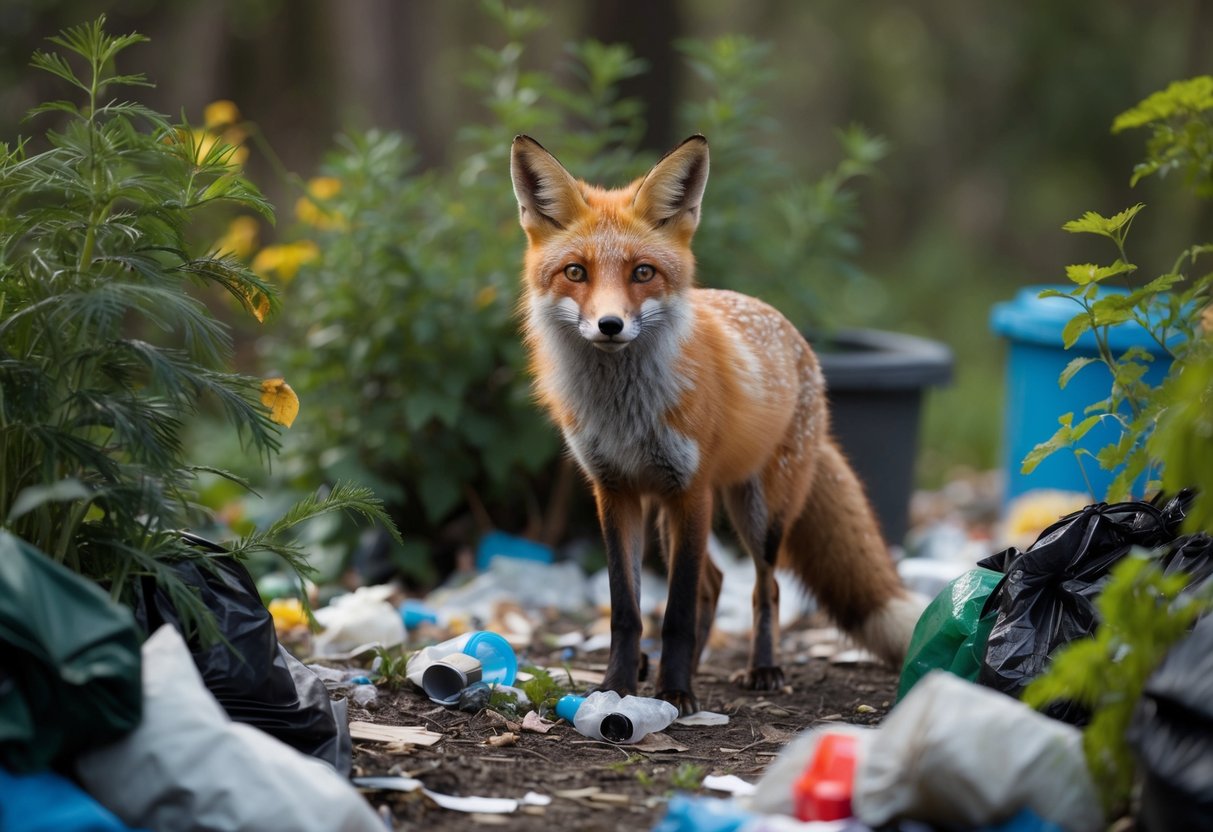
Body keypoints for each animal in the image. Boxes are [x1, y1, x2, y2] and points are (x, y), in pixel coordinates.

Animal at [510, 134, 923, 715]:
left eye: (642, 272)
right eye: (575, 272)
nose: (610, 325)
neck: (624, 412)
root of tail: (796, 337)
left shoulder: (693, 488)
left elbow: (678, 612)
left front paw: (677, 693)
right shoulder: (614, 491)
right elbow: (627, 610)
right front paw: (619, 686)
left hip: (757, 511)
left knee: (763, 588)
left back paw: (761, 669)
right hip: (667, 515)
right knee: (715, 581)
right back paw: (682, 666)